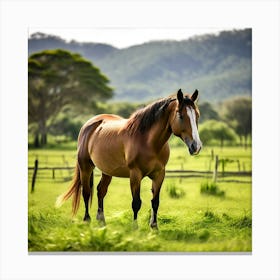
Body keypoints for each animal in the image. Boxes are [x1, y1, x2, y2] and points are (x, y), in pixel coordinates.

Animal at [56, 88, 201, 229]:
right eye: (180, 115)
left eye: (197, 116)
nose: (196, 146)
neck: (148, 142)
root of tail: (89, 125)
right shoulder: (135, 174)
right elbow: (136, 202)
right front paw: (135, 228)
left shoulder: (159, 174)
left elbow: (155, 201)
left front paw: (154, 227)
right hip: (85, 167)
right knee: (86, 192)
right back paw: (87, 220)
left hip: (107, 171)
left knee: (100, 191)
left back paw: (102, 221)